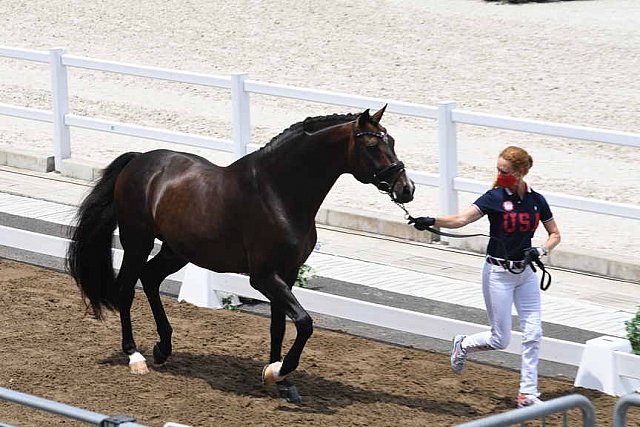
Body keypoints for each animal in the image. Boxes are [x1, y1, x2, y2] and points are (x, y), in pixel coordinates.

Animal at [66, 105, 416, 402]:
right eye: (371, 145)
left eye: (392, 140)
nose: (406, 188)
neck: (278, 192)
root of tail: (140, 160)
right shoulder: (263, 277)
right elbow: (304, 322)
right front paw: (279, 370)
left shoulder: (286, 274)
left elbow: (279, 325)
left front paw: (280, 380)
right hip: (137, 242)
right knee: (126, 288)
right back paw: (135, 356)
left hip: (177, 251)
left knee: (149, 279)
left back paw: (163, 348)